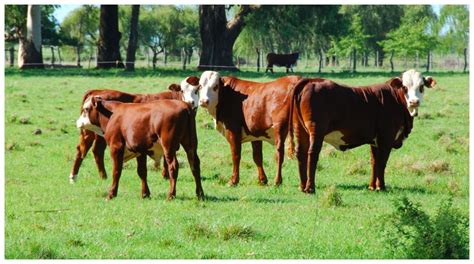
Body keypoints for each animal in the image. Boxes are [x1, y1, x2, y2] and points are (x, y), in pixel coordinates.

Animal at [68, 77, 198, 184]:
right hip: (92, 132)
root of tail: (97, 91)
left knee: (88, 150)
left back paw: (94, 176)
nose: (191, 102)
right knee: (89, 150)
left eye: (197, 90)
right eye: (182, 90)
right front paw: (165, 176)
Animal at [76, 97, 204, 200]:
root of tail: (185, 105)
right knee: (195, 165)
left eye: (86, 109)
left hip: (169, 146)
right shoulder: (140, 150)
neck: (112, 114)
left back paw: (171, 195)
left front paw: (111, 194)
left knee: (173, 166)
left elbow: (116, 171)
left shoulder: (116, 147)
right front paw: (145, 194)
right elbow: (142, 172)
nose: (77, 122)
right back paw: (200, 194)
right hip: (191, 144)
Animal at [286, 69, 436, 193]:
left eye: (421, 87)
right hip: (316, 130)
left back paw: (302, 186)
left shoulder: (375, 141)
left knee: (301, 153)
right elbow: (382, 161)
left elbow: (374, 161)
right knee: (312, 153)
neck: (395, 99)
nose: (414, 102)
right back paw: (310, 188)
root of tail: (311, 80)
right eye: (405, 87)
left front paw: (372, 186)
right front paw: (381, 186)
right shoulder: (386, 138)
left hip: (300, 129)